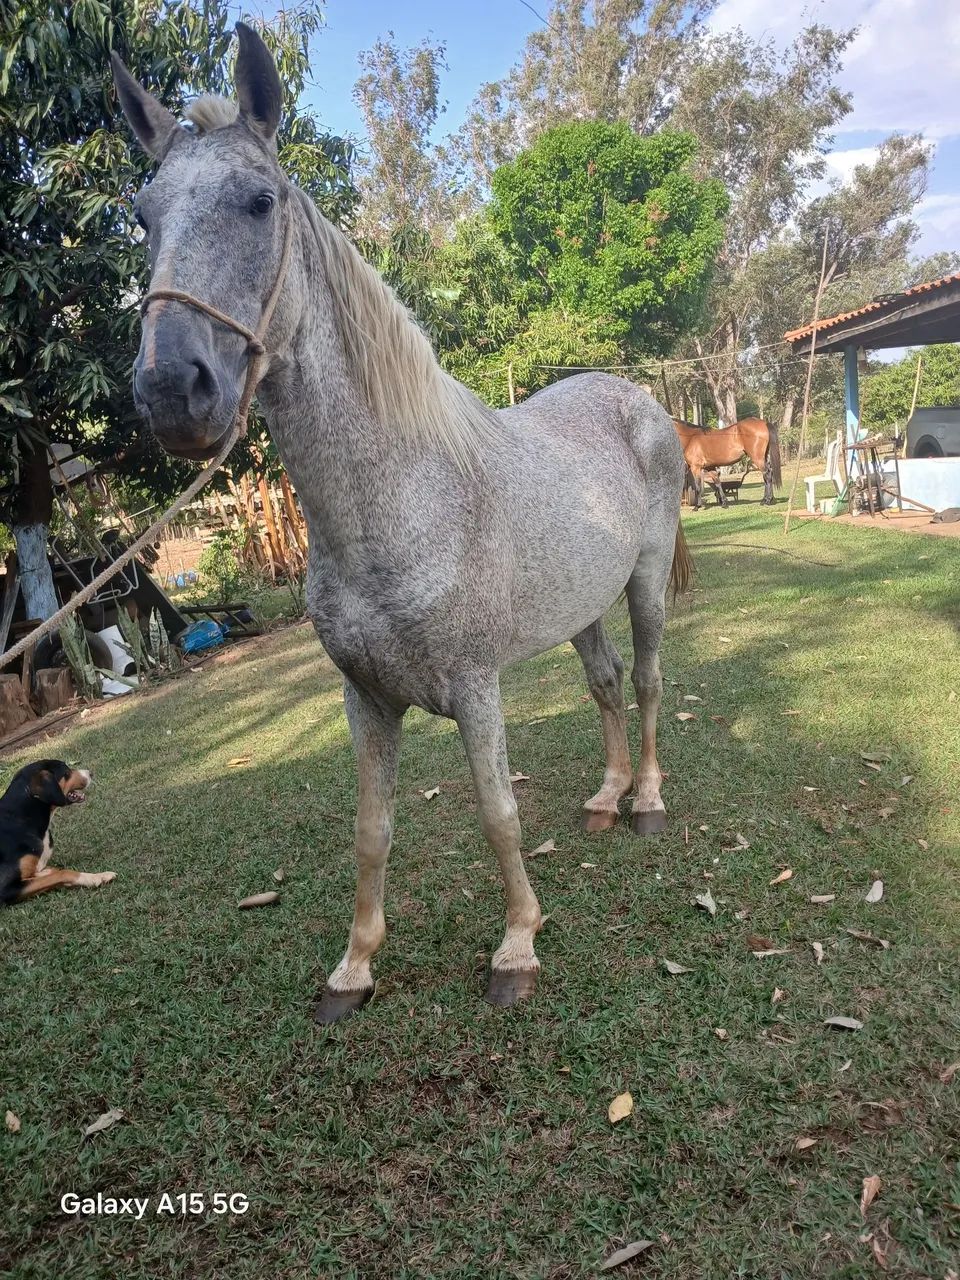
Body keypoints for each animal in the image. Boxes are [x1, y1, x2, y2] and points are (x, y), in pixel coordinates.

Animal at [111, 24, 692, 1023]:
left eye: (260, 201)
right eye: (144, 217)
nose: (172, 391)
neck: (402, 501)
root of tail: (635, 398)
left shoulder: (475, 690)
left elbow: (497, 814)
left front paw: (517, 947)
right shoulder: (366, 700)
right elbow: (372, 830)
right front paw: (354, 968)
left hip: (645, 582)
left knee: (650, 682)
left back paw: (645, 803)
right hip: (578, 607)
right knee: (608, 684)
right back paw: (606, 797)